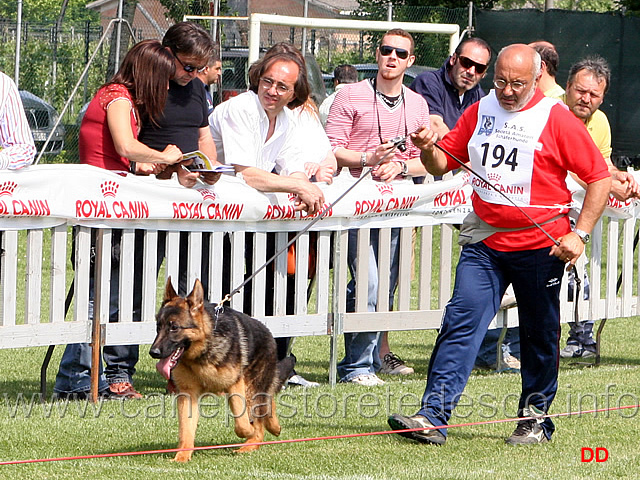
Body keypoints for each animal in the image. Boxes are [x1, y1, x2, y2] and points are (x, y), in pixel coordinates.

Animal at [150, 278, 292, 462]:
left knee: (260, 414)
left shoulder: (235, 385)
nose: (153, 352)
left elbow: (242, 424)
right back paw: (273, 427)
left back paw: (251, 443)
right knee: (267, 401)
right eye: (158, 326)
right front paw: (182, 456)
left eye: (174, 327)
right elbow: (185, 430)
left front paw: (249, 431)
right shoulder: (188, 395)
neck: (203, 350)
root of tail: (268, 333)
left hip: (250, 389)